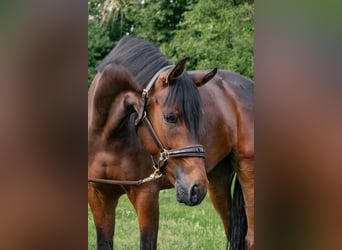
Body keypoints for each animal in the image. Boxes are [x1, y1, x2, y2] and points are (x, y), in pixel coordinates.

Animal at [88, 35, 254, 250]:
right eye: (170, 117)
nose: (196, 187)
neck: (107, 136)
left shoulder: (146, 196)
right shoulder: (99, 196)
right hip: (218, 181)